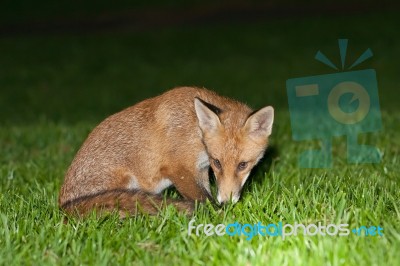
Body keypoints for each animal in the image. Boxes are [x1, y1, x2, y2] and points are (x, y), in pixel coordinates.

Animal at [59, 87, 274, 216]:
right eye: (218, 162)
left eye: (243, 165)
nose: (226, 203)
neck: (195, 129)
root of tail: (63, 206)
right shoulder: (177, 168)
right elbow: (202, 197)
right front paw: (217, 215)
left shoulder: (200, 169)